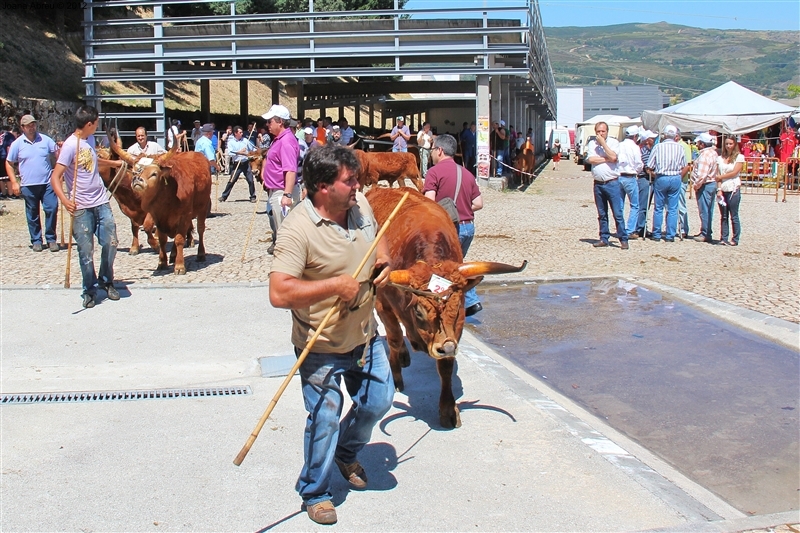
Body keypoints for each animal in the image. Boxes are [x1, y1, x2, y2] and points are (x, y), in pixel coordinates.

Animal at [108, 135, 212, 276]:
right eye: (134, 171)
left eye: (154, 173)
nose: (137, 180)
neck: (167, 194)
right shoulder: (157, 217)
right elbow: (162, 239)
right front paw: (162, 262)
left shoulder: (184, 216)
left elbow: (179, 239)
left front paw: (179, 266)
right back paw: (173, 255)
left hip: (202, 207)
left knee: (200, 229)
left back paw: (200, 254)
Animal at [368, 187, 528, 428]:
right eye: (419, 312)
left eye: (458, 306)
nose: (447, 347)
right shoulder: (383, 306)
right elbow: (394, 339)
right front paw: (395, 377)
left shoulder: (456, 328)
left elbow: (446, 367)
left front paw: (448, 409)